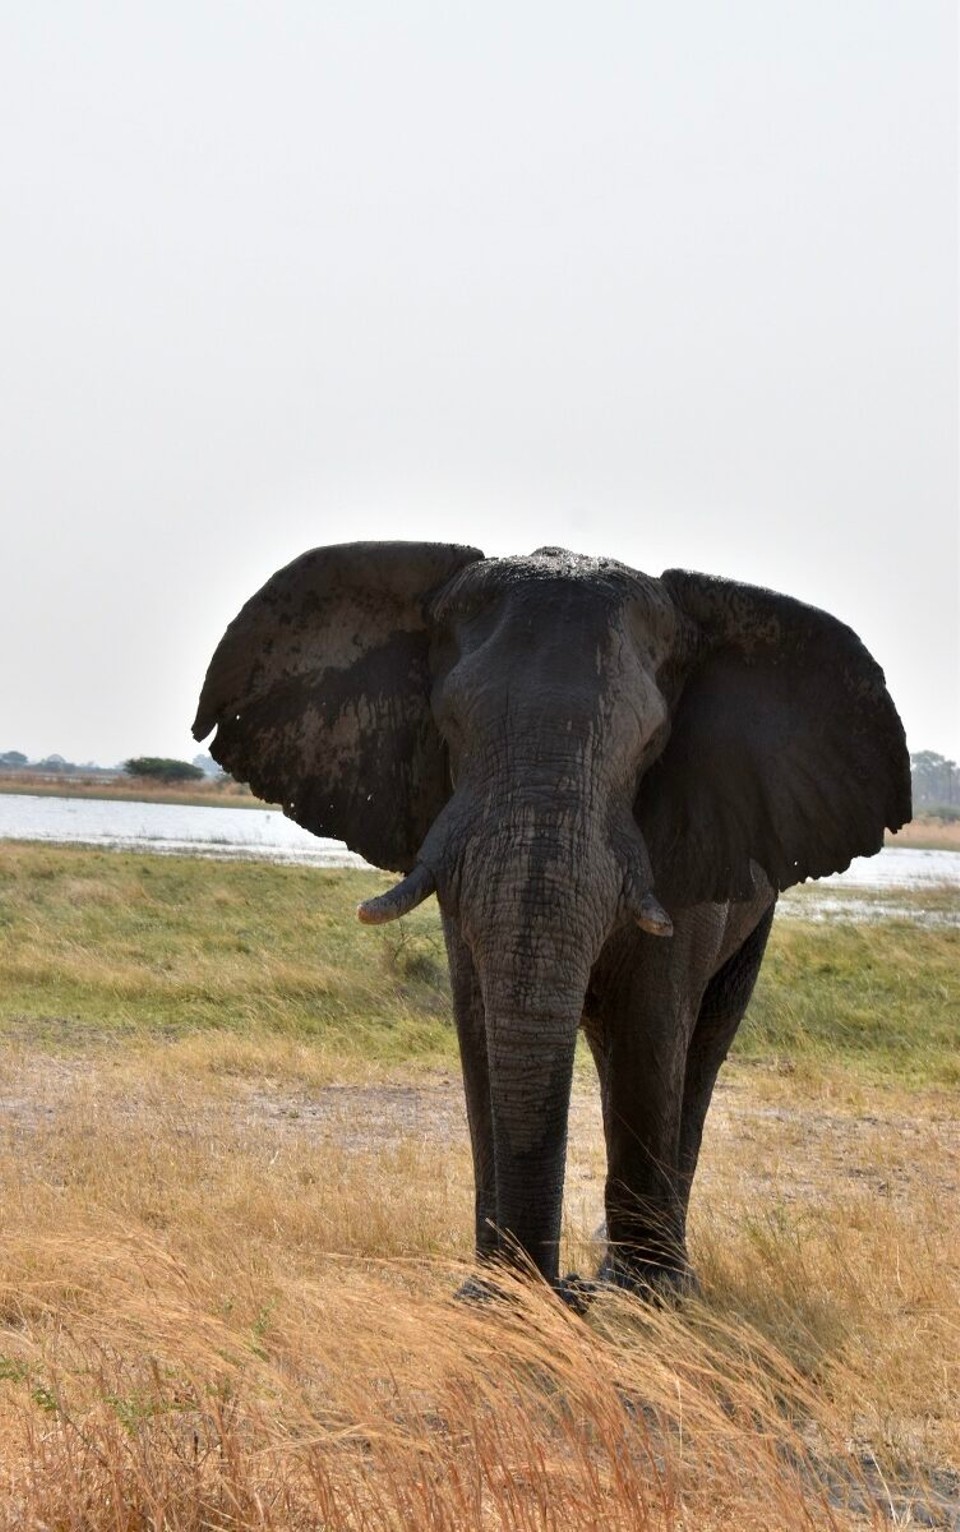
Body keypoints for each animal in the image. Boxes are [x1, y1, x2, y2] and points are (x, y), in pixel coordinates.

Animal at [193, 541, 910, 1301]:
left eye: (651, 743)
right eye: (449, 724)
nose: (563, 1286)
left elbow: (652, 1022)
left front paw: (639, 1302)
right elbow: (480, 1016)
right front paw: (495, 1299)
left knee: (700, 1044)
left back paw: (663, 1280)